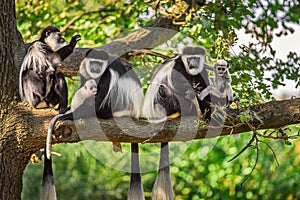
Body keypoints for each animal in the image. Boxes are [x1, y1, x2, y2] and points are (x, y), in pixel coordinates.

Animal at [142, 46, 212, 198]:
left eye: (197, 58)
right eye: (189, 59)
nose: (193, 64)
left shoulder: (201, 71)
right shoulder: (177, 65)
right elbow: (177, 79)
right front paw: (192, 92)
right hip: (164, 103)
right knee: (164, 89)